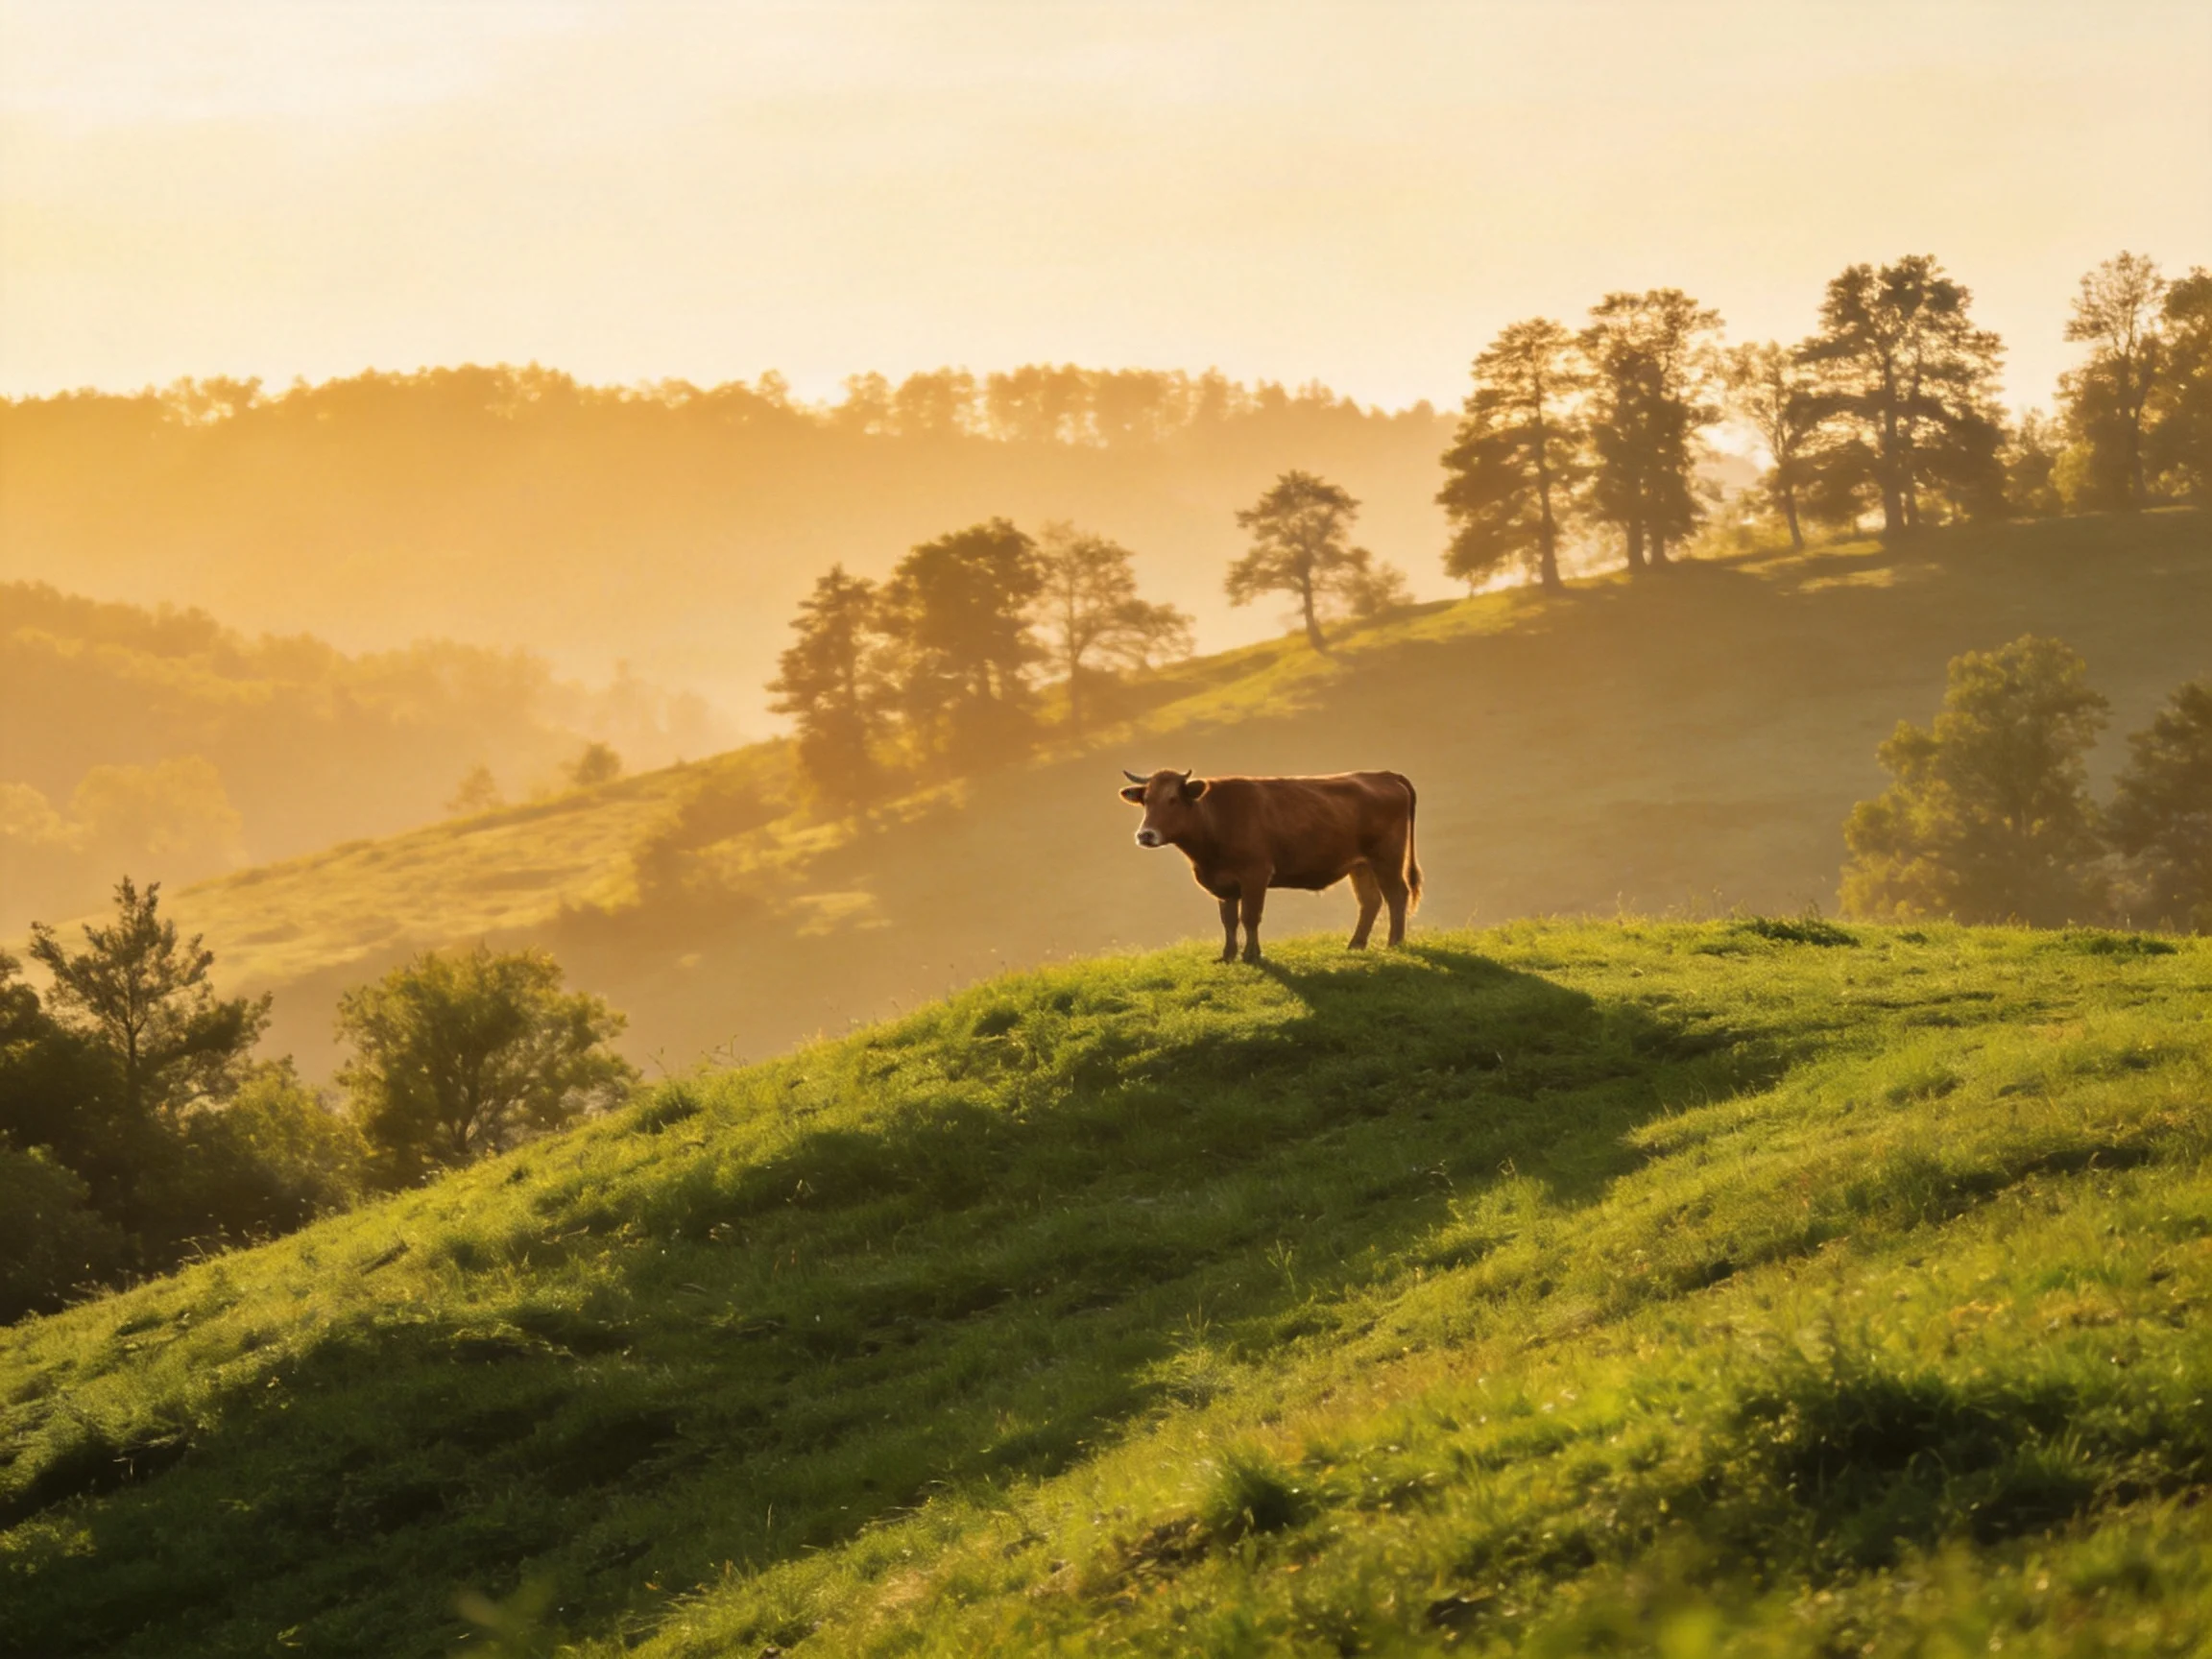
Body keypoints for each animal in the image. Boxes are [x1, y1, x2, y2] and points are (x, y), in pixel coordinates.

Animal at [1118, 767, 1421, 963]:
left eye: (1172, 799)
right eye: (1146, 801)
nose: (1145, 835)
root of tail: (1382, 774)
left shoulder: (1255, 874)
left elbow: (1250, 917)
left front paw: (1252, 955)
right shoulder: (1223, 883)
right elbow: (1228, 920)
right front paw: (1228, 955)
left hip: (1387, 857)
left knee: (1397, 895)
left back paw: (1394, 943)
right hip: (1360, 865)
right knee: (1370, 901)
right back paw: (1356, 945)